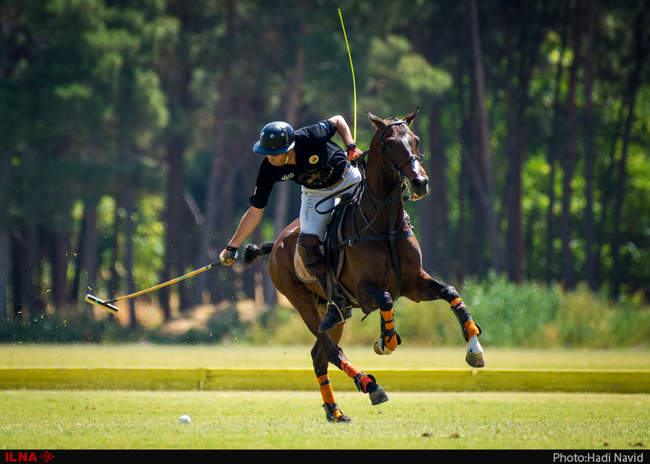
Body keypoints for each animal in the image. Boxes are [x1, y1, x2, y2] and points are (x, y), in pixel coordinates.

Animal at [244, 110, 485, 423]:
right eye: (391, 143)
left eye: (416, 139)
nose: (420, 182)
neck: (384, 223)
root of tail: (275, 244)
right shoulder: (364, 290)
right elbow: (386, 300)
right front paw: (385, 342)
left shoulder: (414, 284)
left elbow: (450, 291)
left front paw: (475, 348)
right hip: (303, 303)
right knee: (331, 351)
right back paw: (370, 385)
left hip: (335, 313)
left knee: (319, 355)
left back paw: (335, 411)